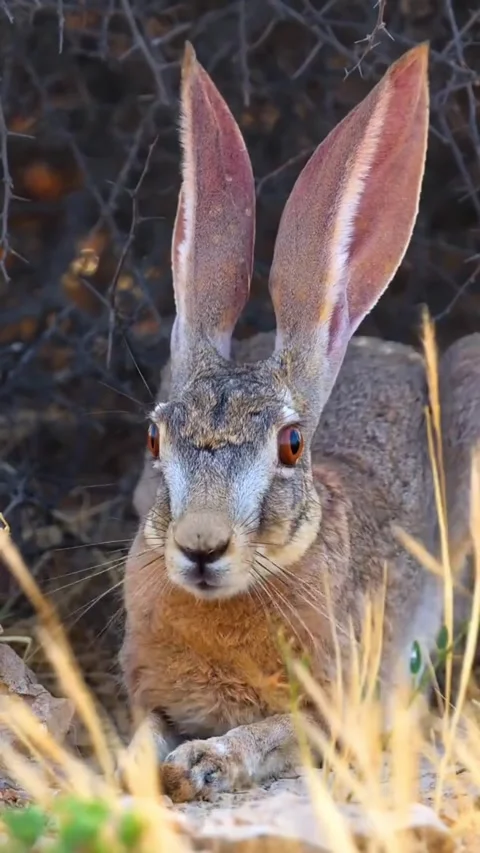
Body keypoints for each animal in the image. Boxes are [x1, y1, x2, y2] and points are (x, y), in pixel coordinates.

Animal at [119, 42, 480, 803]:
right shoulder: (148, 693)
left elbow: (273, 733)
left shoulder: (333, 709)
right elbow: (142, 733)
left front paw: (205, 761)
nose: (201, 546)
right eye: (154, 435)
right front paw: (140, 769)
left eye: (291, 445)